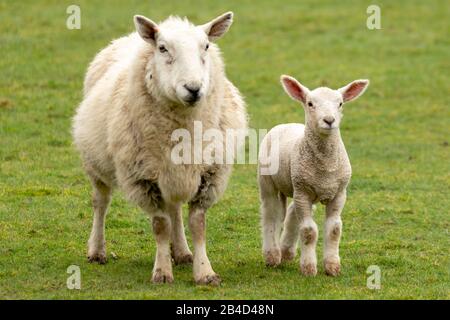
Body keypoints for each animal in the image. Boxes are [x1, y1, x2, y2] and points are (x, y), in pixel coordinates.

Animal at [72, 11, 246, 284]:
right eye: (162, 48)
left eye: (206, 46)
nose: (193, 88)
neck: (183, 126)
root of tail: (131, 36)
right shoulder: (143, 179)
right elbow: (160, 226)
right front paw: (162, 272)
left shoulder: (209, 175)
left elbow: (197, 224)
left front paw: (204, 272)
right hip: (96, 164)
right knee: (101, 202)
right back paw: (97, 250)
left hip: (172, 172)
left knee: (174, 209)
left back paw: (182, 252)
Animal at [256, 74, 370, 276]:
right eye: (310, 103)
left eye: (340, 103)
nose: (329, 120)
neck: (325, 168)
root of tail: (285, 124)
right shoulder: (303, 192)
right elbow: (309, 231)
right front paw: (309, 268)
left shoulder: (338, 193)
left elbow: (334, 229)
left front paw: (332, 266)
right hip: (268, 181)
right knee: (270, 214)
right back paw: (273, 255)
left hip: (297, 185)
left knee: (291, 212)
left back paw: (287, 251)